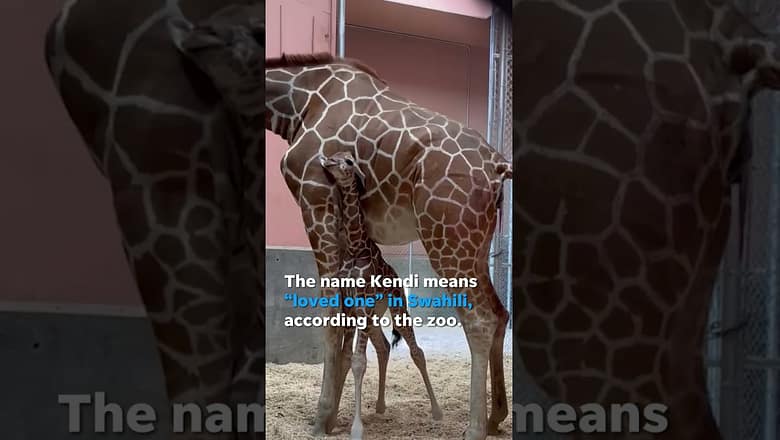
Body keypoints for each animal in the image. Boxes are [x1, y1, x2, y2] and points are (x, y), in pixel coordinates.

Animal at [321, 151, 443, 439]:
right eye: (335, 155)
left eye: (349, 161)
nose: (328, 162)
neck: (356, 246)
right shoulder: (349, 306)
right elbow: (345, 358)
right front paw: (332, 422)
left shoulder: (363, 301)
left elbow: (357, 362)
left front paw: (356, 429)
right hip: (374, 318)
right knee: (385, 347)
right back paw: (379, 406)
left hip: (397, 309)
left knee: (416, 351)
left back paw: (436, 411)